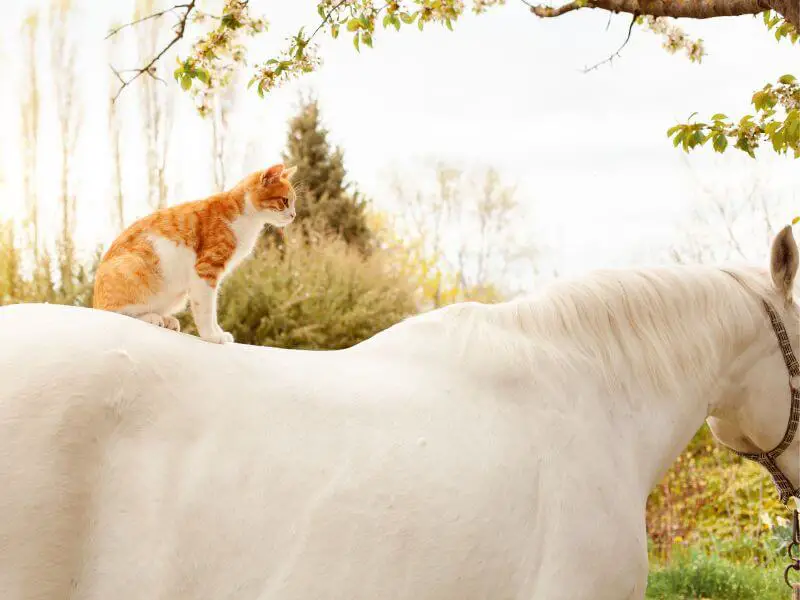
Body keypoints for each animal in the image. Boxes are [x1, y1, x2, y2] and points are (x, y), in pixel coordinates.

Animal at [91, 164, 296, 344]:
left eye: (293, 202)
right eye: (285, 201)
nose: (293, 215)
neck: (245, 216)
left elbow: (212, 310)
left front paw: (218, 332)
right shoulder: (206, 270)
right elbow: (206, 309)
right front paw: (211, 336)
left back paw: (167, 319)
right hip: (133, 267)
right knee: (116, 311)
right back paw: (152, 317)